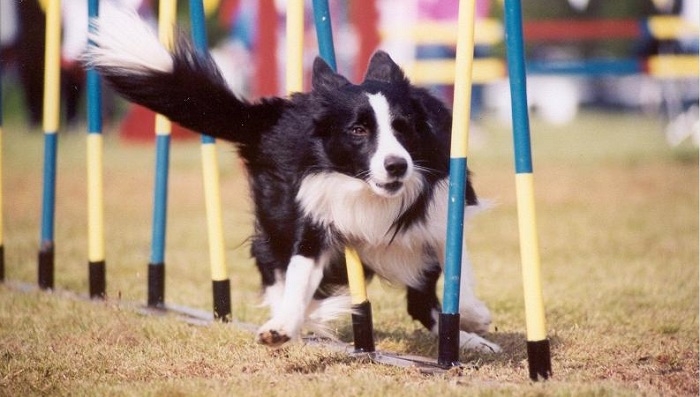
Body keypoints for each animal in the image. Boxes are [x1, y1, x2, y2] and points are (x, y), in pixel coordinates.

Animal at [87, 7, 500, 352]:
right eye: (358, 130)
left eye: (403, 127)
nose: (397, 166)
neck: (367, 193)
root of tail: (271, 115)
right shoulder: (315, 216)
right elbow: (300, 273)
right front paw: (283, 326)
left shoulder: (443, 210)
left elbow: (458, 271)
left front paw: (475, 316)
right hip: (278, 213)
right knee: (272, 263)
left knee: (420, 302)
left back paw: (470, 341)